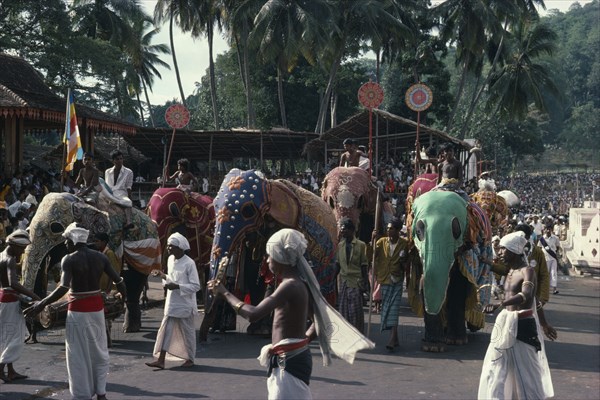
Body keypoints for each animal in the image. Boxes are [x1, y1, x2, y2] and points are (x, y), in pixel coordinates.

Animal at [22, 191, 162, 332]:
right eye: (28, 230)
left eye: (55, 228)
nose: (33, 320)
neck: (81, 202)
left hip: (145, 248)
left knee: (134, 282)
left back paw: (129, 327)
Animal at [200, 169, 338, 340]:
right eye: (215, 205)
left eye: (248, 211)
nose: (204, 338)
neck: (271, 186)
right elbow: (254, 270)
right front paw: (257, 330)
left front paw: (264, 330)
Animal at [410, 189, 494, 352]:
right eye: (418, 231)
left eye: (456, 230)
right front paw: (432, 347)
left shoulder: (464, 252)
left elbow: (458, 285)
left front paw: (456, 341)